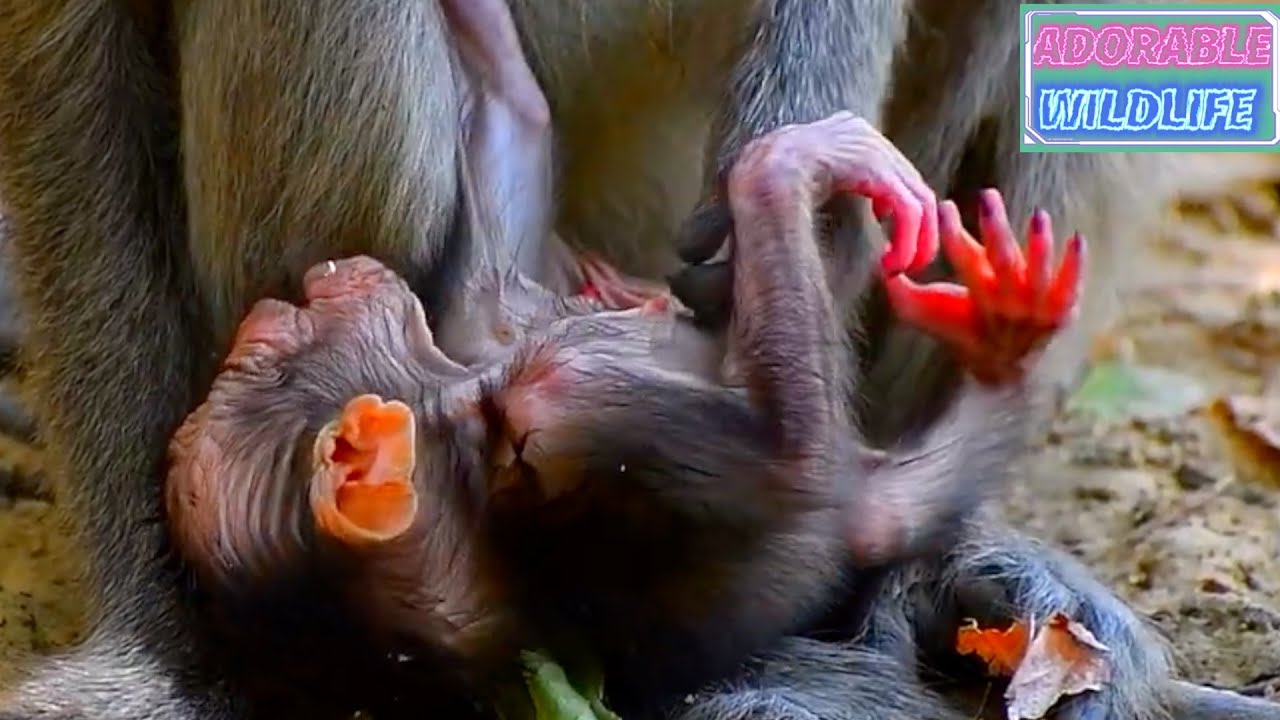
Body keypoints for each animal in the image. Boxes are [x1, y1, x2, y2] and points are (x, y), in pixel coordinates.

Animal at [162, 116, 1082, 716]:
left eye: (252, 351)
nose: (304, 288)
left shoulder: (485, 334)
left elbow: (511, 137)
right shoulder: (567, 404)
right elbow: (797, 458)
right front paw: (787, 164)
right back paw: (1007, 335)